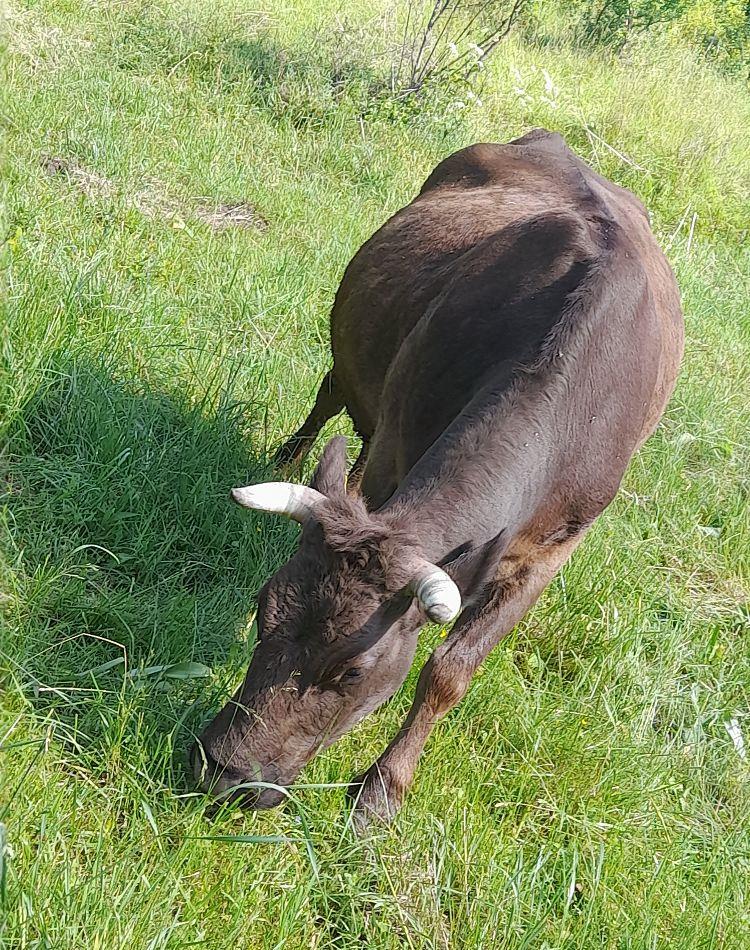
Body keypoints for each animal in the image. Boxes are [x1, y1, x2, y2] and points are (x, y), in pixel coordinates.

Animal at [192, 129, 684, 828]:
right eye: (263, 609)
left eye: (351, 671)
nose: (219, 771)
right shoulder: (395, 453)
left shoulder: (549, 552)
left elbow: (451, 670)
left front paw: (382, 790)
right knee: (333, 392)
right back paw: (292, 456)